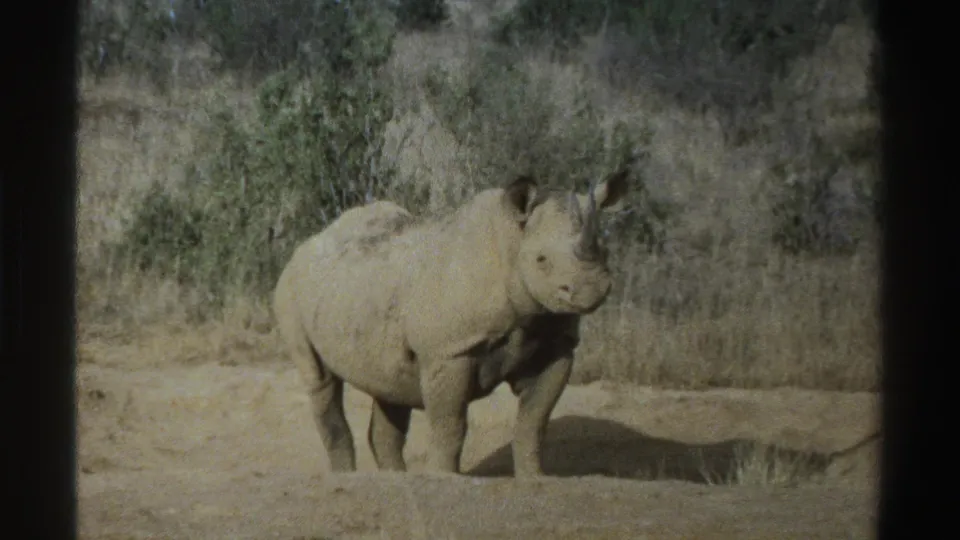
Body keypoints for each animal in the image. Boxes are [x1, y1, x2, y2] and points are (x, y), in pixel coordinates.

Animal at [273, 168, 629, 478]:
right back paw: (347, 476)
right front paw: (444, 477)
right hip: (290, 289)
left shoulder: (555, 343)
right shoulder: (449, 350)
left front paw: (534, 478)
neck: (512, 242)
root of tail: (306, 245)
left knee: (389, 386)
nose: (590, 289)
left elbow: (533, 422)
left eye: (605, 251)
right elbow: (450, 424)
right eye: (541, 260)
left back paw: (395, 479)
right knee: (320, 379)